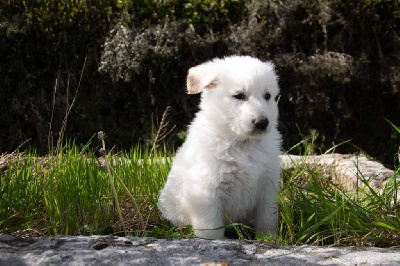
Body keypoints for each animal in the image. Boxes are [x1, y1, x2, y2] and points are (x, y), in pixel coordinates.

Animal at [157, 55, 282, 239]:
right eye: (239, 96)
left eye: (267, 95)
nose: (262, 123)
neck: (241, 143)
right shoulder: (205, 189)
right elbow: (211, 226)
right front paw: (215, 241)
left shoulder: (267, 187)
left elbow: (267, 219)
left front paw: (269, 238)